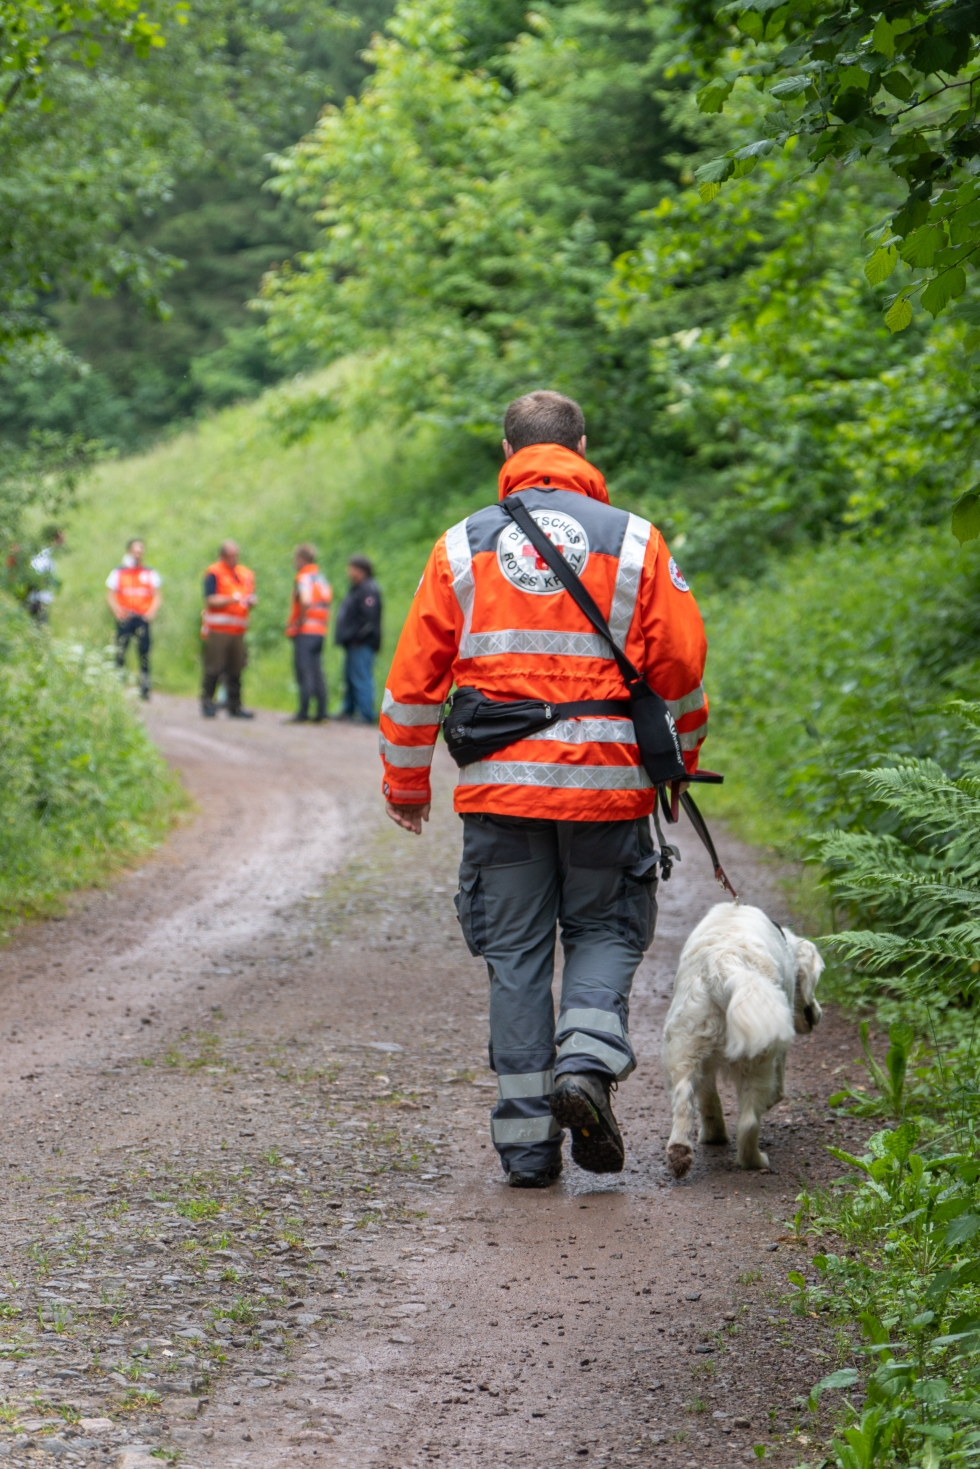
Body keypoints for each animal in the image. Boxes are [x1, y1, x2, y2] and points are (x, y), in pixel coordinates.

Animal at [662, 903, 823, 1177]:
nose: (818, 1013)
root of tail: (723, 964)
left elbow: (708, 1100)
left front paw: (713, 1135)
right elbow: (777, 1092)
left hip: (686, 1046)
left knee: (685, 1098)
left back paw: (684, 1151)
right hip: (758, 1059)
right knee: (748, 1123)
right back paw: (756, 1160)